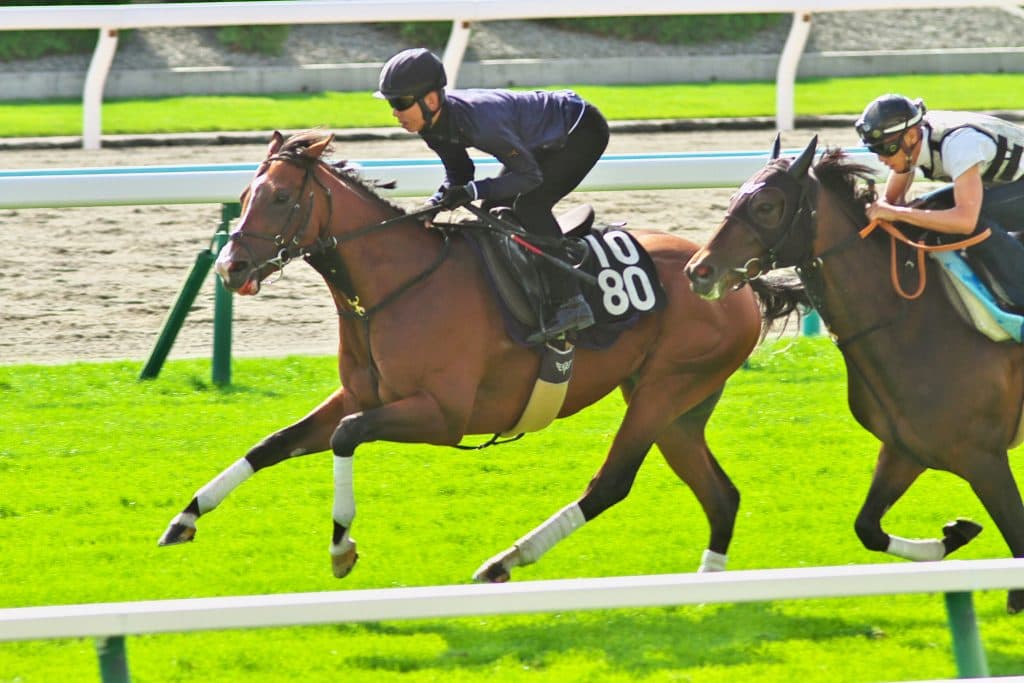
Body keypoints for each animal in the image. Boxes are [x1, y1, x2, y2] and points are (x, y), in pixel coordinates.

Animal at [157, 130, 796, 583]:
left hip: (665, 389)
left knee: (610, 484)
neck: (396, 284)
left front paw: (341, 545)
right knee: (722, 497)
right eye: (244, 197)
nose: (231, 266)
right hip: (677, 407)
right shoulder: (362, 393)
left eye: (282, 196)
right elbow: (273, 443)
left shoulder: (442, 416)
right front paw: (184, 517)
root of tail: (736, 281)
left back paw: (504, 561)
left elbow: (346, 434)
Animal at [685, 136, 1024, 613]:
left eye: (767, 205)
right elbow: (867, 528)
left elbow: (1017, 536)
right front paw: (953, 535)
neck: (910, 319)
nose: (699, 270)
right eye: (733, 198)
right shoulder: (907, 449)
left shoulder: (984, 457)